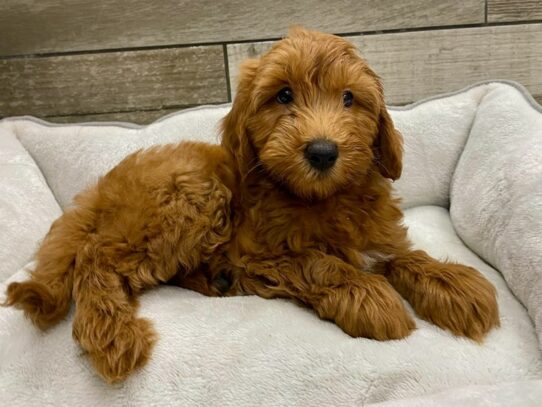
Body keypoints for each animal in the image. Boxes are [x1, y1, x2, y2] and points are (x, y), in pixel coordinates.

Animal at [3, 27, 502, 384]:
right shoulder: (259, 254)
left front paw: (454, 284)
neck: (319, 198)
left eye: (349, 98)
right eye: (283, 95)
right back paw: (113, 334)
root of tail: (101, 188)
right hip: (191, 198)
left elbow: (401, 256)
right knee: (95, 257)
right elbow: (321, 263)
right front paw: (371, 297)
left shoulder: (376, 235)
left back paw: (209, 282)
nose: (323, 151)